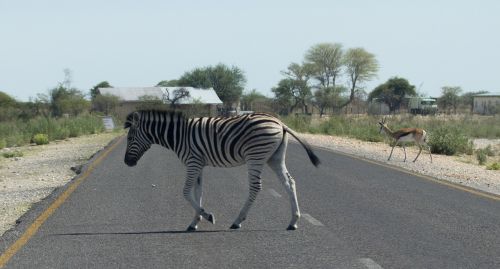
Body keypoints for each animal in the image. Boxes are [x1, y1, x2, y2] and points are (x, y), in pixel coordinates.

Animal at [124, 109, 320, 230]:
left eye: (130, 138)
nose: (127, 162)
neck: (179, 135)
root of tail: (280, 123)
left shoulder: (193, 162)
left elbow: (186, 192)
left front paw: (207, 216)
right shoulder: (198, 164)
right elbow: (198, 192)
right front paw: (195, 222)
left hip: (255, 156)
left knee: (256, 187)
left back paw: (237, 221)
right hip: (275, 157)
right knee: (289, 182)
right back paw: (293, 221)